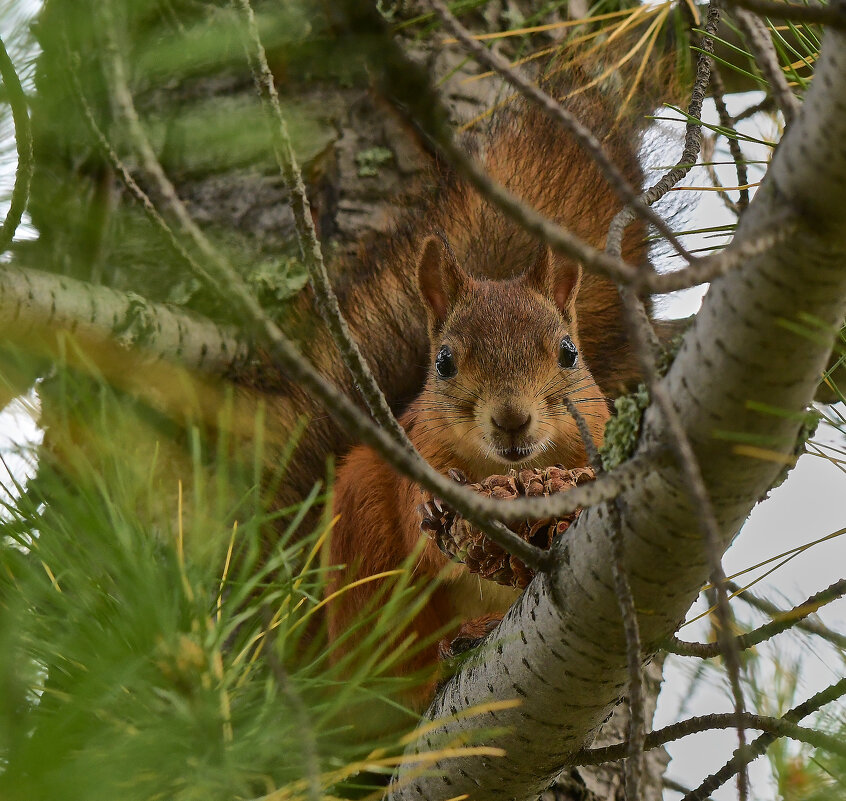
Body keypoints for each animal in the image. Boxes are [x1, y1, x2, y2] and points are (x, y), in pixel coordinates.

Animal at [324, 231, 608, 700]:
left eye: (569, 353)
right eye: (443, 362)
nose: (511, 419)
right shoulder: (420, 448)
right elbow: (424, 539)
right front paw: (436, 508)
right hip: (367, 549)